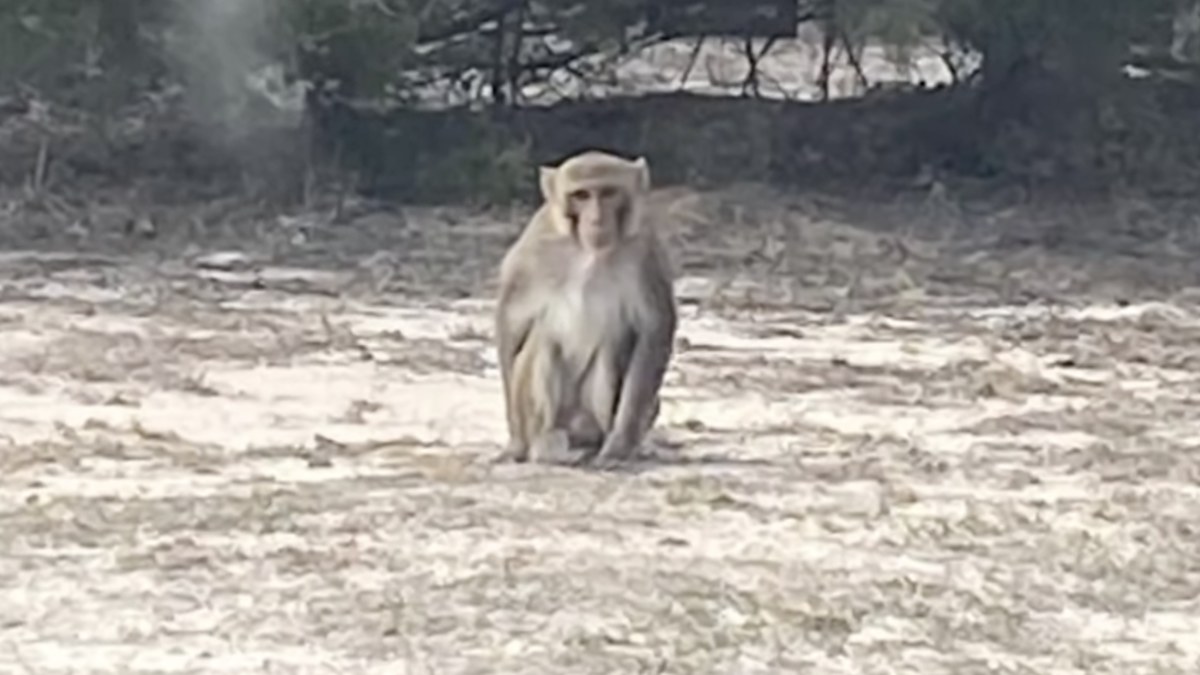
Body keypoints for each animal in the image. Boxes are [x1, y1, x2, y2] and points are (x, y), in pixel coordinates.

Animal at [494, 150, 677, 468]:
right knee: (543, 340)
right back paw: (547, 443)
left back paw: (598, 442)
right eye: (581, 195)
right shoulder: (535, 247)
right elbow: (511, 324)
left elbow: (654, 329)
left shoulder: (644, 248)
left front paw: (619, 446)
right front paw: (516, 443)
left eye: (608, 193)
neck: (588, 251)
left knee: (609, 349)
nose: (597, 219)